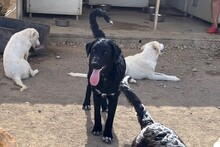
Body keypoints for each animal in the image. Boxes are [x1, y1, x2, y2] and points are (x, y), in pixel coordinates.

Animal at [84, 8, 125, 144]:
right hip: (89, 74)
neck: (105, 77)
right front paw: (97, 128)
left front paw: (107, 134)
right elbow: (96, 114)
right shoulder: (96, 93)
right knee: (88, 87)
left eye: (106, 52)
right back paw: (86, 103)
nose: (94, 64)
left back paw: (104, 106)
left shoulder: (114, 97)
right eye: (94, 50)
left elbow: (110, 118)